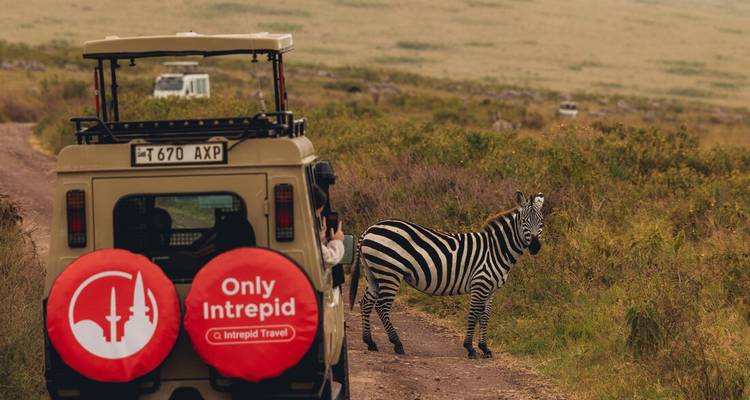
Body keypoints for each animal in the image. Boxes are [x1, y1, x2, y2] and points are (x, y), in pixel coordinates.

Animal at [349, 191, 545, 359]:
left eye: (541, 222)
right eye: (524, 221)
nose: (535, 247)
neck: (496, 249)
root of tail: (369, 229)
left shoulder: (491, 289)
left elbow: (484, 316)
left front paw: (485, 348)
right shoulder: (480, 283)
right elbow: (474, 314)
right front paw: (470, 348)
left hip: (373, 273)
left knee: (365, 303)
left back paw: (370, 342)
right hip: (390, 273)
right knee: (382, 306)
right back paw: (397, 344)